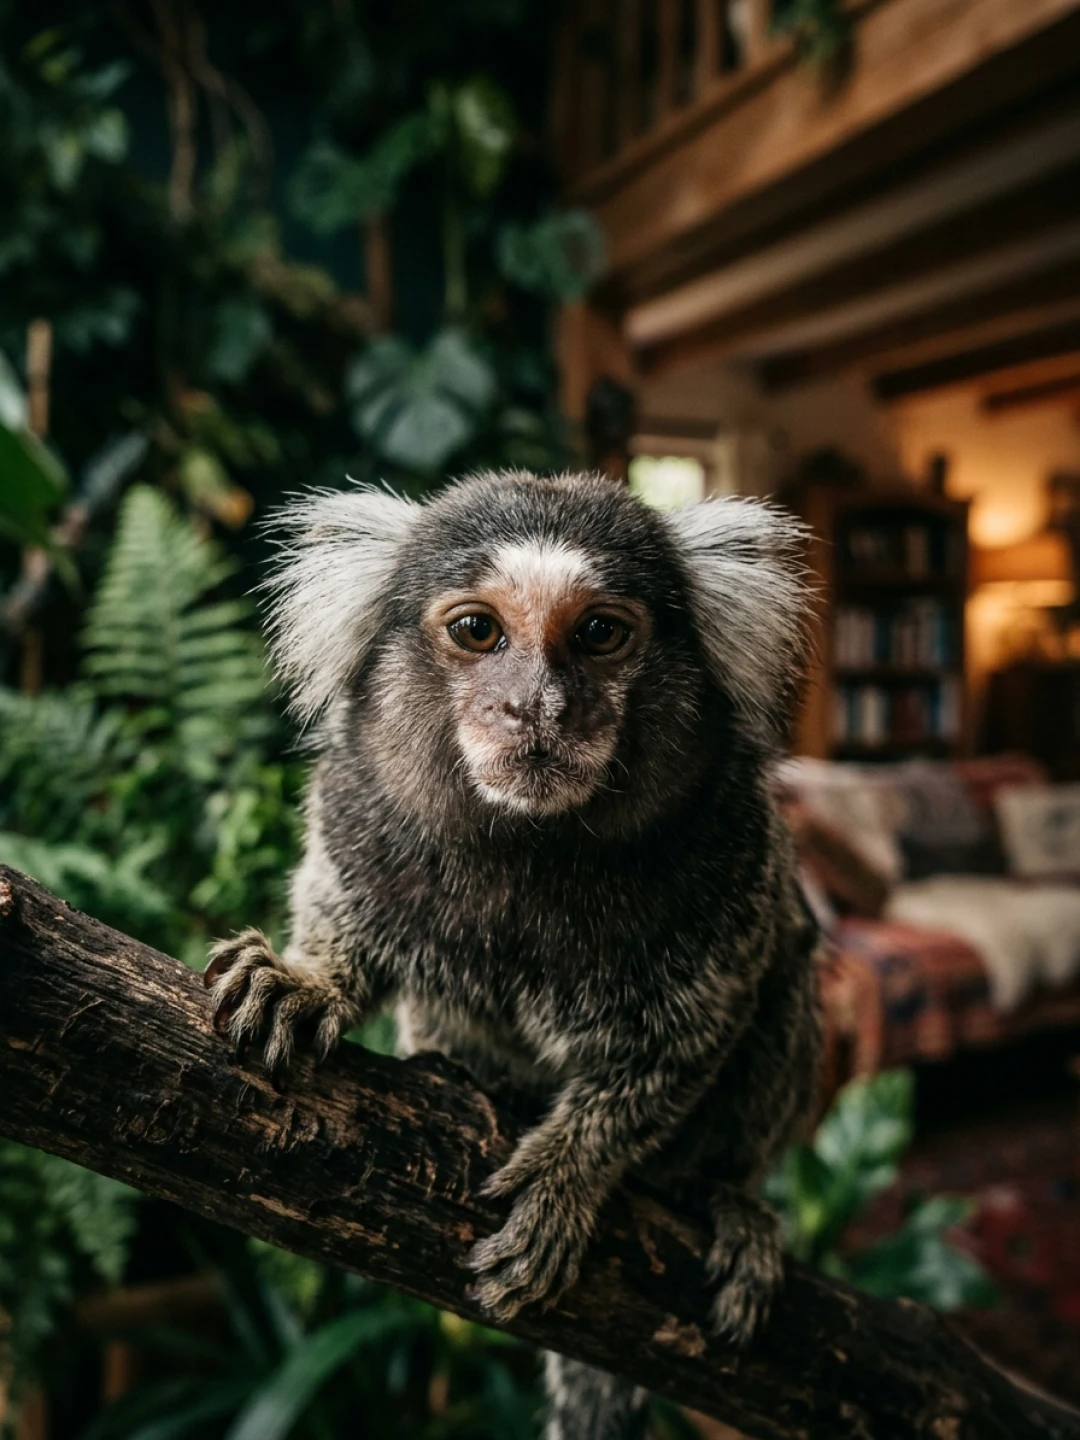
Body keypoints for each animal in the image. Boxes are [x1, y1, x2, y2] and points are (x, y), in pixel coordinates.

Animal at [204, 470, 821, 1440]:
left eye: (600, 634)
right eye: (477, 631)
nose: (535, 706)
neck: (531, 847)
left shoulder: (733, 847)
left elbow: (675, 1046)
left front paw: (566, 1177)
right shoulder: (359, 806)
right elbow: (343, 922)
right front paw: (304, 981)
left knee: (787, 980)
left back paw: (728, 1200)